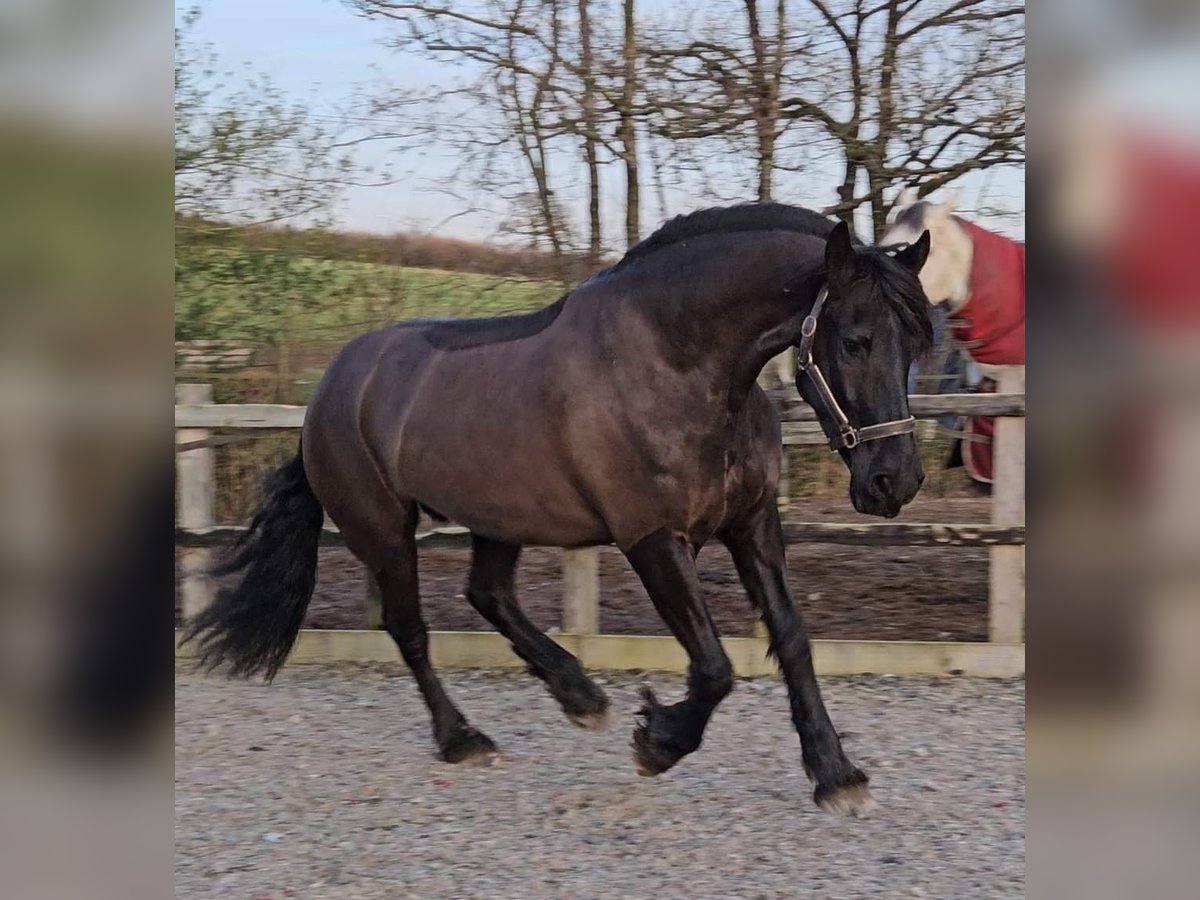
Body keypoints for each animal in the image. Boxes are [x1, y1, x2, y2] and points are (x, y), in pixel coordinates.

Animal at [182, 204, 931, 816]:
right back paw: (464, 739)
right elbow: (715, 668)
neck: (678, 362)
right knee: (411, 630)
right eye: (855, 339)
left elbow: (793, 641)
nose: (895, 480)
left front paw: (836, 775)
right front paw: (656, 743)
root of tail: (331, 387)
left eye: (916, 344)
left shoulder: (751, 527)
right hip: (384, 532)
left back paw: (580, 696)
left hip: (497, 516)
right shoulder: (652, 539)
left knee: (487, 594)